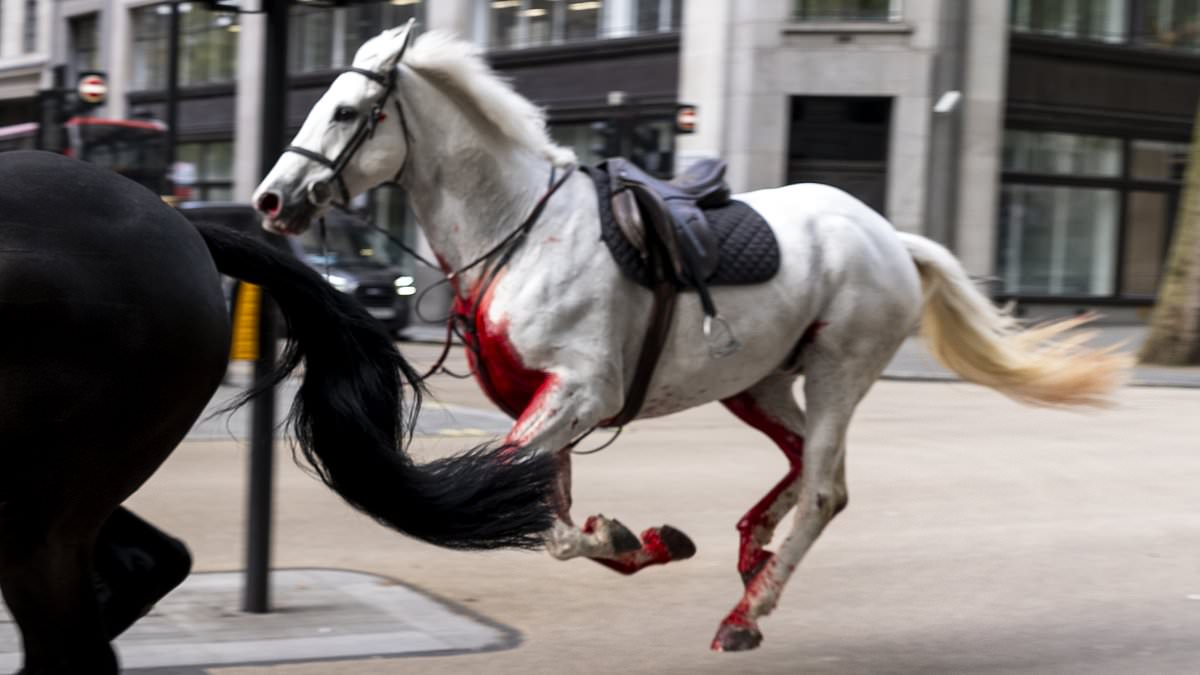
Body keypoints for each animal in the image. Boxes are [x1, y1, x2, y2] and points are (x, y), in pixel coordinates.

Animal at [250, 23, 1123, 648]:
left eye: (346, 110)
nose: (270, 199)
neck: (520, 230)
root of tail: (886, 233)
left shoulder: (579, 391)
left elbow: (537, 511)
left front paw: (625, 535)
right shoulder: (550, 402)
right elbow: (545, 508)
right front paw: (636, 538)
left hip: (839, 370)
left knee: (825, 488)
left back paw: (746, 611)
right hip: (759, 381)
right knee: (807, 465)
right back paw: (752, 553)